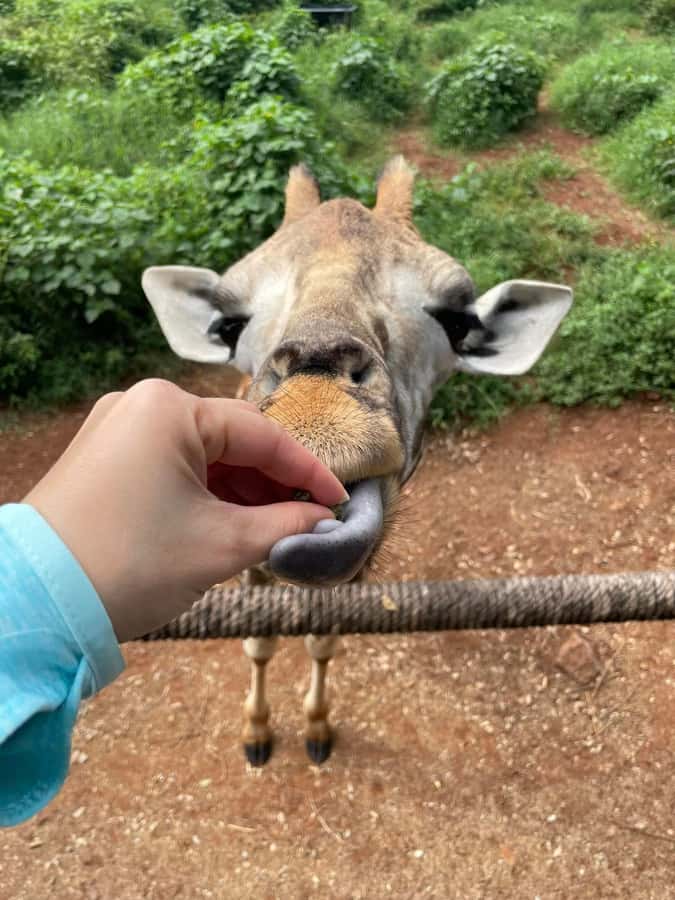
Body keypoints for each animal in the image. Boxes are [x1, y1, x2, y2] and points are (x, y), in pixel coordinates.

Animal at [142, 156, 572, 765]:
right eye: (229, 325)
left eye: (457, 321)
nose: (315, 415)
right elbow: (259, 639)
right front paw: (256, 735)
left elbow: (324, 640)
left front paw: (318, 729)